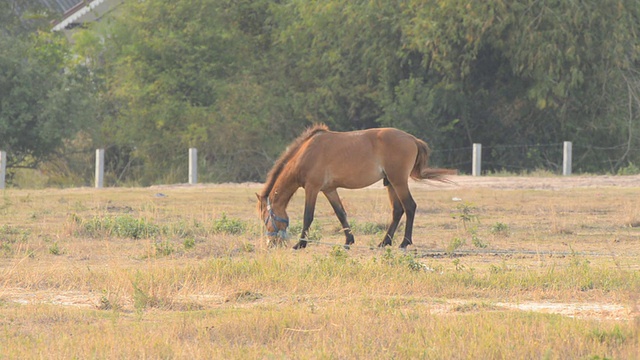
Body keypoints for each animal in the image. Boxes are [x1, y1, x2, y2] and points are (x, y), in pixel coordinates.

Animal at [255, 125, 450, 249]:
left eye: (265, 218)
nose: (270, 244)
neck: (306, 154)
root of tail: (412, 139)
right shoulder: (329, 190)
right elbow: (341, 213)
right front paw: (349, 240)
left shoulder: (312, 188)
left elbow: (308, 216)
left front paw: (300, 243)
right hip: (391, 184)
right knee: (397, 210)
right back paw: (384, 242)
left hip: (398, 182)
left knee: (409, 207)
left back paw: (404, 242)